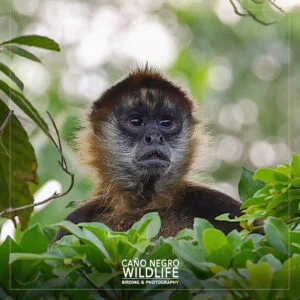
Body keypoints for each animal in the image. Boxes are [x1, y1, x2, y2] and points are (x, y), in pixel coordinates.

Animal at [53, 66, 241, 241]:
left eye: (165, 123)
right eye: (136, 122)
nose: (155, 137)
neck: (145, 204)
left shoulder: (217, 203)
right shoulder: (75, 219)